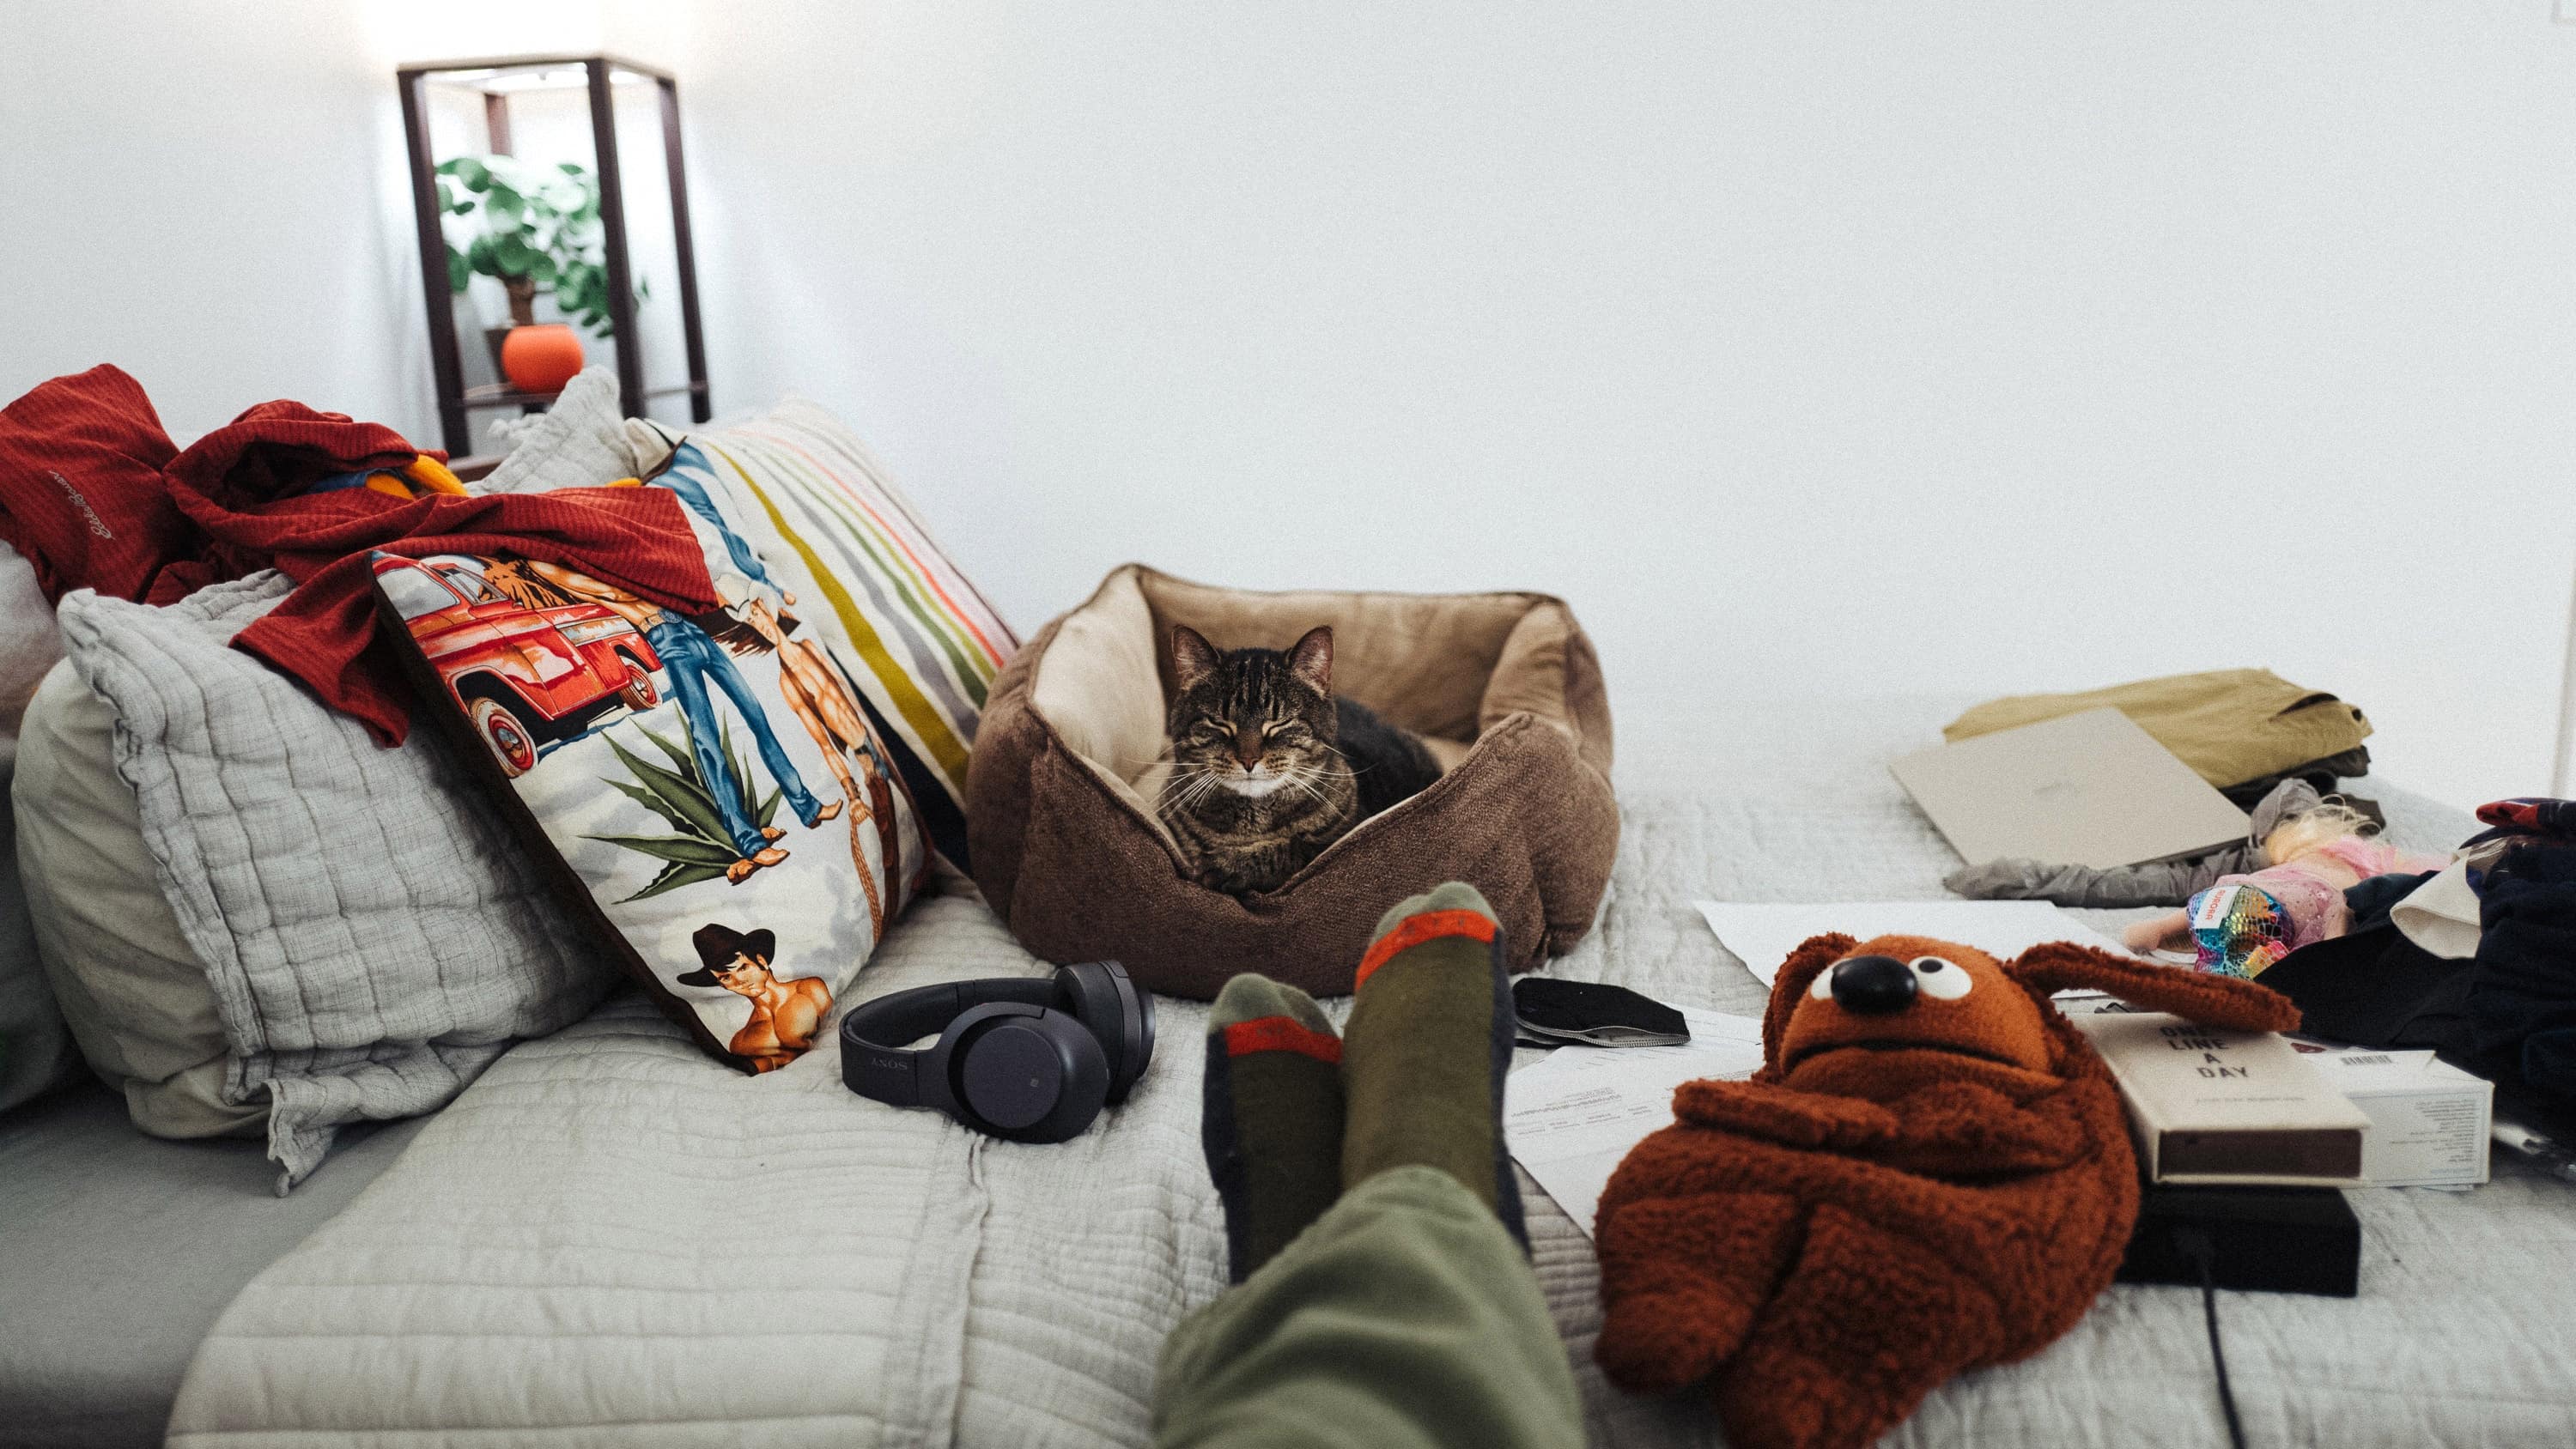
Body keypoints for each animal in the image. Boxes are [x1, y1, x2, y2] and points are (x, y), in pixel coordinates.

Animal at [1164, 622, 1453, 895]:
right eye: (1219, 723)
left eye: (1281, 723)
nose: (1248, 760)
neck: (1253, 822)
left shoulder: (1336, 838)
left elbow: (1295, 848)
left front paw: (1228, 866)